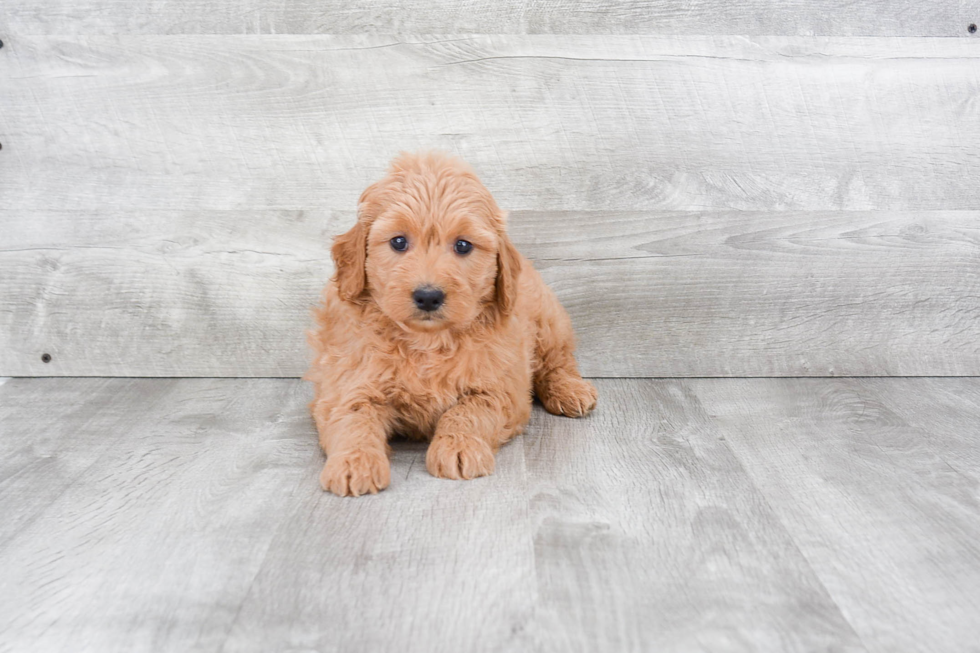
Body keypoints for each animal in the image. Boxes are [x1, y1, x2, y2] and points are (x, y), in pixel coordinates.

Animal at [306, 150, 596, 494]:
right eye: (398, 242)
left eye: (463, 245)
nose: (428, 296)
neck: (427, 341)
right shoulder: (348, 382)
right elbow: (353, 417)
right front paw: (354, 462)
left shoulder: (499, 388)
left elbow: (467, 410)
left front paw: (458, 446)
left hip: (549, 319)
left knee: (557, 360)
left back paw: (570, 391)